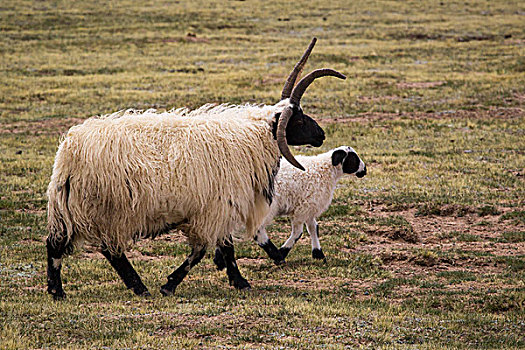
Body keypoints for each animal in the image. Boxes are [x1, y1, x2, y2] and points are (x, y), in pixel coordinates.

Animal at [46, 37, 348, 298]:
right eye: (299, 119)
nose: (321, 135)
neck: (253, 138)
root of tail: (69, 152)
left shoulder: (218, 206)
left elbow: (222, 247)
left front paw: (234, 280)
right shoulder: (215, 207)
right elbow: (205, 250)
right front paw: (174, 284)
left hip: (79, 208)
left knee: (69, 244)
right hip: (103, 210)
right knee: (93, 248)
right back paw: (76, 290)